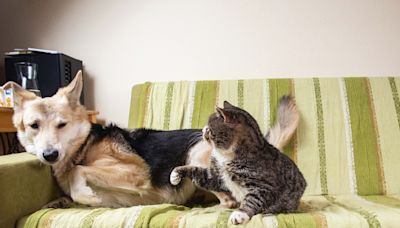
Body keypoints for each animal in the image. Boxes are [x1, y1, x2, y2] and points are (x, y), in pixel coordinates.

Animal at [2, 71, 296, 208]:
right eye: (34, 126)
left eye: (61, 125)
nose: (49, 155)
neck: (83, 146)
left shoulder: (134, 172)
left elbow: (78, 172)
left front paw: (85, 193)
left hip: (194, 153)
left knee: (229, 199)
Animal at [170, 98, 306, 224]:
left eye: (209, 128)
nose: (203, 130)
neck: (226, 157)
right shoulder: (217, 177)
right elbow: (196, 171)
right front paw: (175, 174)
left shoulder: (264, 186)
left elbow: (252, 200)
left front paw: (240, 214)